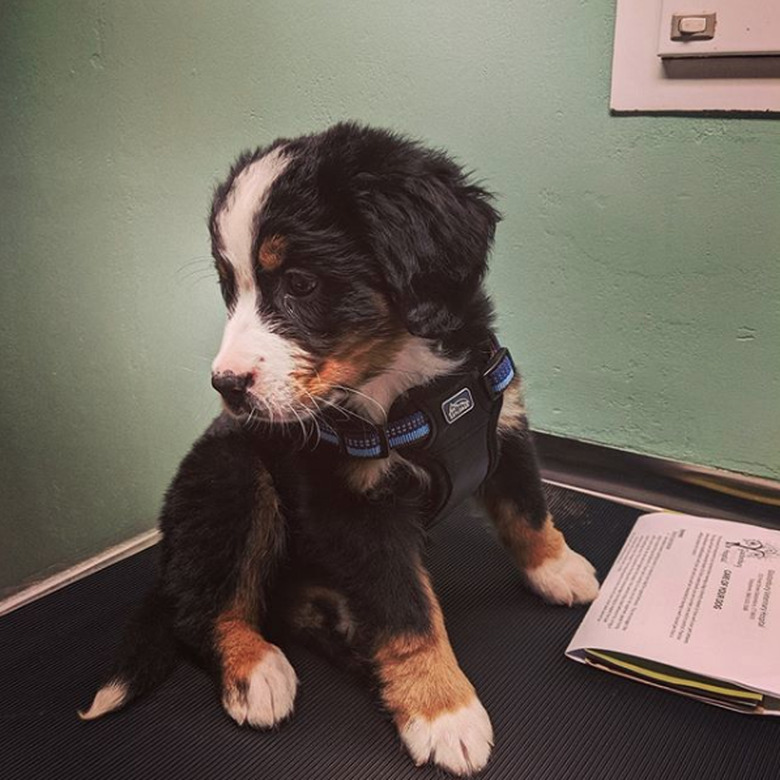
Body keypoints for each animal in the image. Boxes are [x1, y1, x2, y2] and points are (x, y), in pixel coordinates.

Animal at [82, 122, 600, 772]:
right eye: (230, 290)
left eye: (300, 284)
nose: (226, 386)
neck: (409, 384)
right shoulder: (353, 506)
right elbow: (406, 611)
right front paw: (443, 710)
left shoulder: (501, 424)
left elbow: (527, 509)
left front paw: (558, 569)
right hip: (234, 478)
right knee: (202, 609)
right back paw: (256, 670)